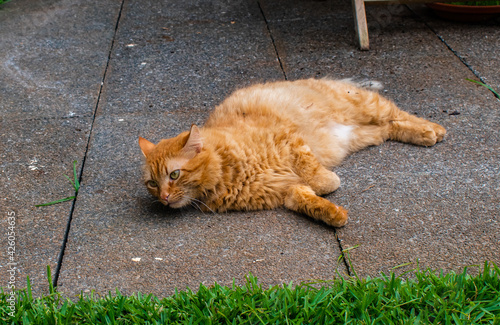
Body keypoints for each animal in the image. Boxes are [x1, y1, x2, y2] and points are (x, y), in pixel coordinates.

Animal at [139, 78, 448, 227]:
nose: (163, 198)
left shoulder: (290, 140)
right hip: (366, 133)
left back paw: (433, 130)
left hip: (367, 107)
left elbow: (319, 177)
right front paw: (333, 215)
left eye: (174, 175)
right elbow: (307, 200)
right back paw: (424, 134)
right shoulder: (285, 191)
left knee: (398, 112)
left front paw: (328, 183)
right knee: (391, 126)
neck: (225, 172)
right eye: (152, 183)